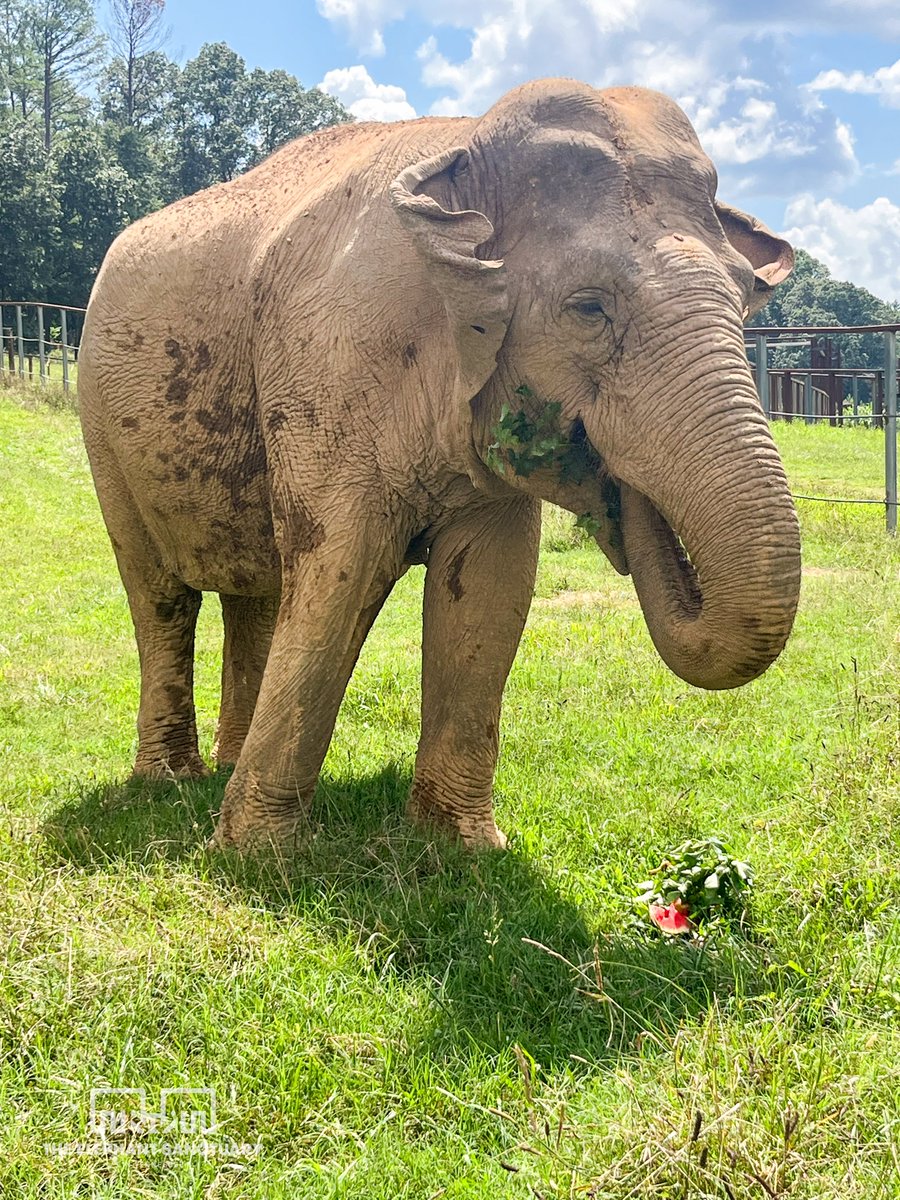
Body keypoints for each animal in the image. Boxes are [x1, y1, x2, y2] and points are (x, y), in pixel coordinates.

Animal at [78, 78, 801, 852]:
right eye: (588, 308)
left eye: (744, 300)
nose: (623, 499)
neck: (465, 145)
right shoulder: (331, 364)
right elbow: (340, 569)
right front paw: (255, 856)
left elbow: (491, 588)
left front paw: (460, 847)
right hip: (102, 427)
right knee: (161, 595)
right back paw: (170, 780)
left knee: (258, 594)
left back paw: (222, 766)